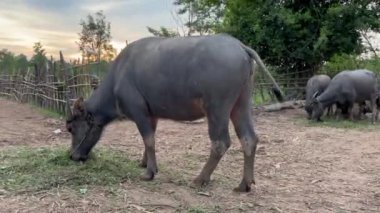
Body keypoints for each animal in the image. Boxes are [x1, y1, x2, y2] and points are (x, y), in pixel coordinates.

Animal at [65, 34, 284, 192]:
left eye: (70, 128)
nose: (73, 156)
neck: (117, 80)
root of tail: (240, 46)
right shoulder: (151, 115)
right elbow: (148, 140)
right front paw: (144, 163)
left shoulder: (139, 112)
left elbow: (148, 139)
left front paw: (149, 173)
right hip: (241, 103)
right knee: (249, 138)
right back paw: (244, 184)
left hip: (217, 108)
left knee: (220, 143)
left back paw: (200, 179)